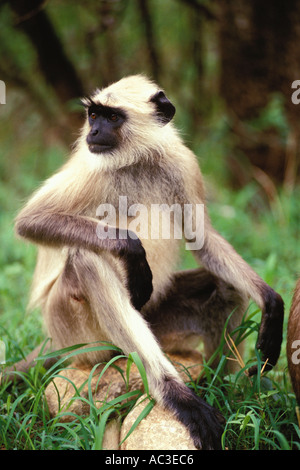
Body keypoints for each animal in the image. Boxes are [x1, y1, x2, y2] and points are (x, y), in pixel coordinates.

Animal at [12, 75, 284, 450]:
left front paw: (272, 303)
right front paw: (131, 250)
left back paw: (230, 392)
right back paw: (176, 395)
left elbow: (203, 240)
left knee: (225, 289)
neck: (136, 160)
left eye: (112, 118)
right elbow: (31, 221)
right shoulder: (92, 166)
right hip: (77, 334)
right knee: (87, 258)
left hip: (156, 319)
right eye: (94, 115)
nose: (93, 132)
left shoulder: (181, 163)